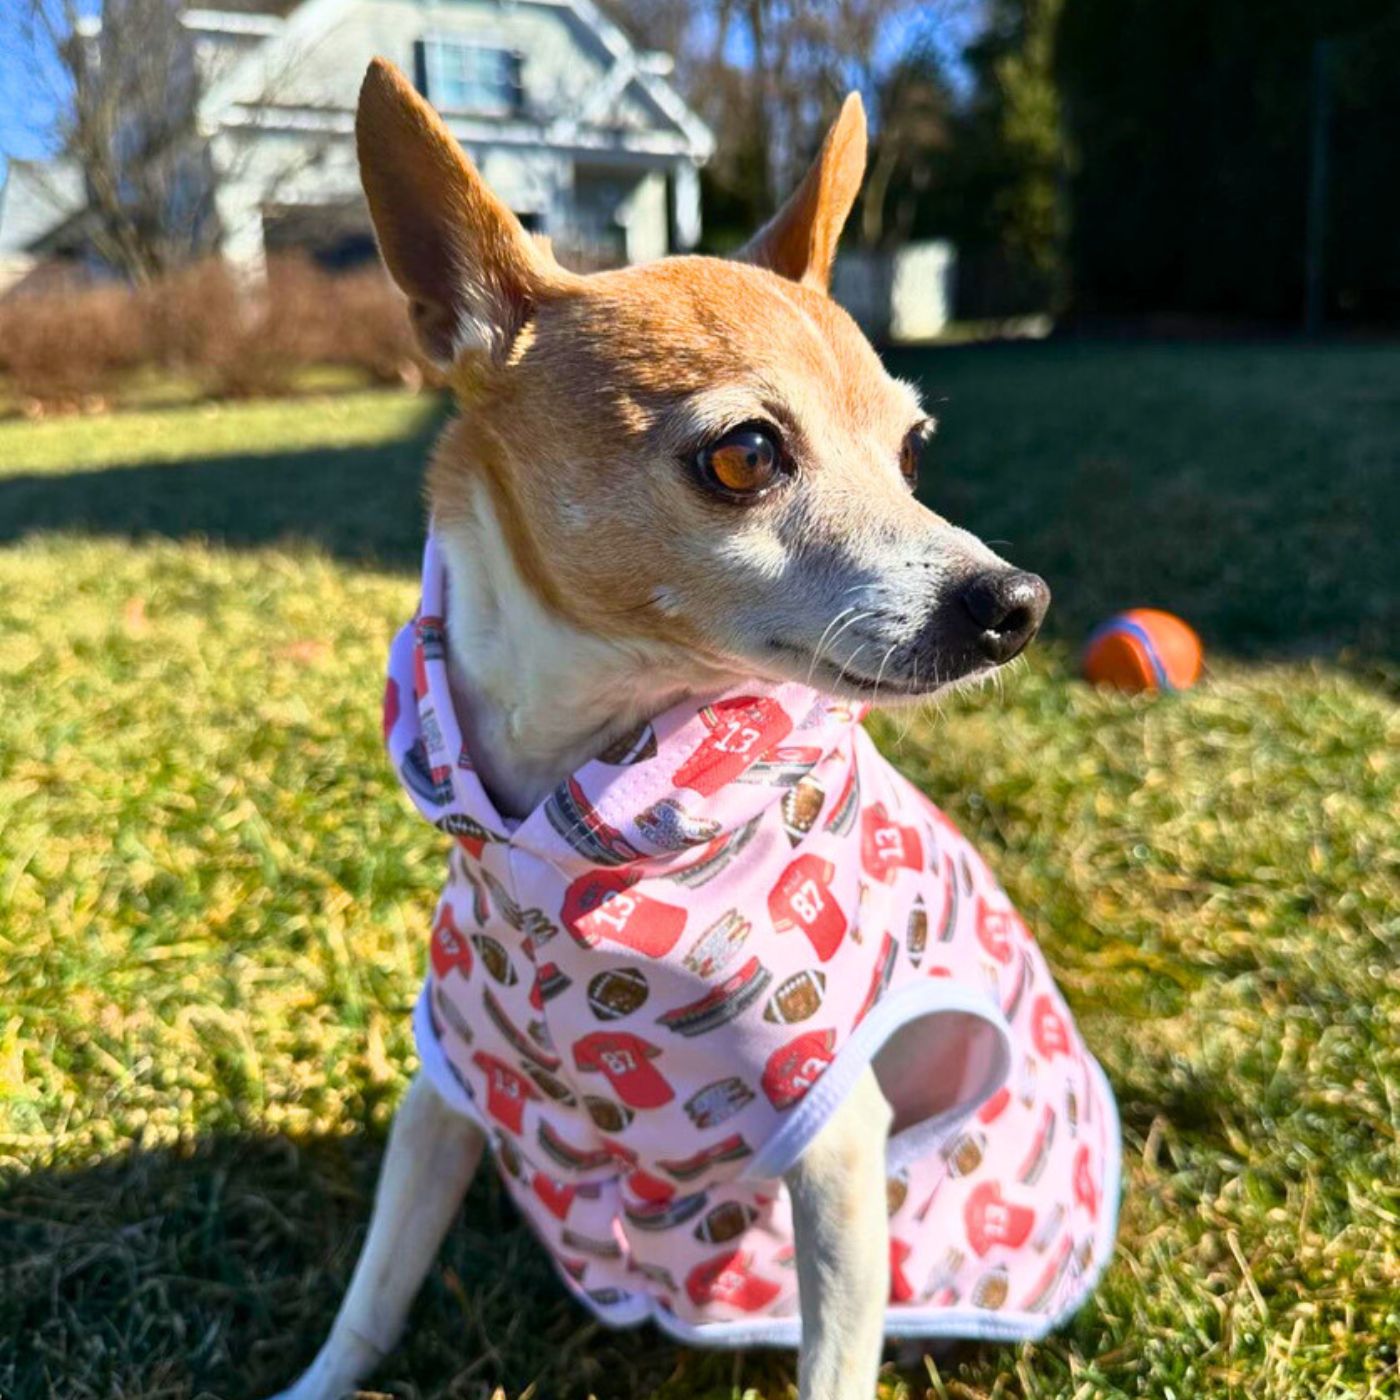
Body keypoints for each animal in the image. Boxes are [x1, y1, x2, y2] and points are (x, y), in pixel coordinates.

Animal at [273, 57, 1120, 1400]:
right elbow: (374, 1294)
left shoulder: (835, 1147)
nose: (1016, 602)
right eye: (744, 454)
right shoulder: (448, 1088)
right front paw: (315, 1382)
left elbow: (834, 1362)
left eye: (910, 450)